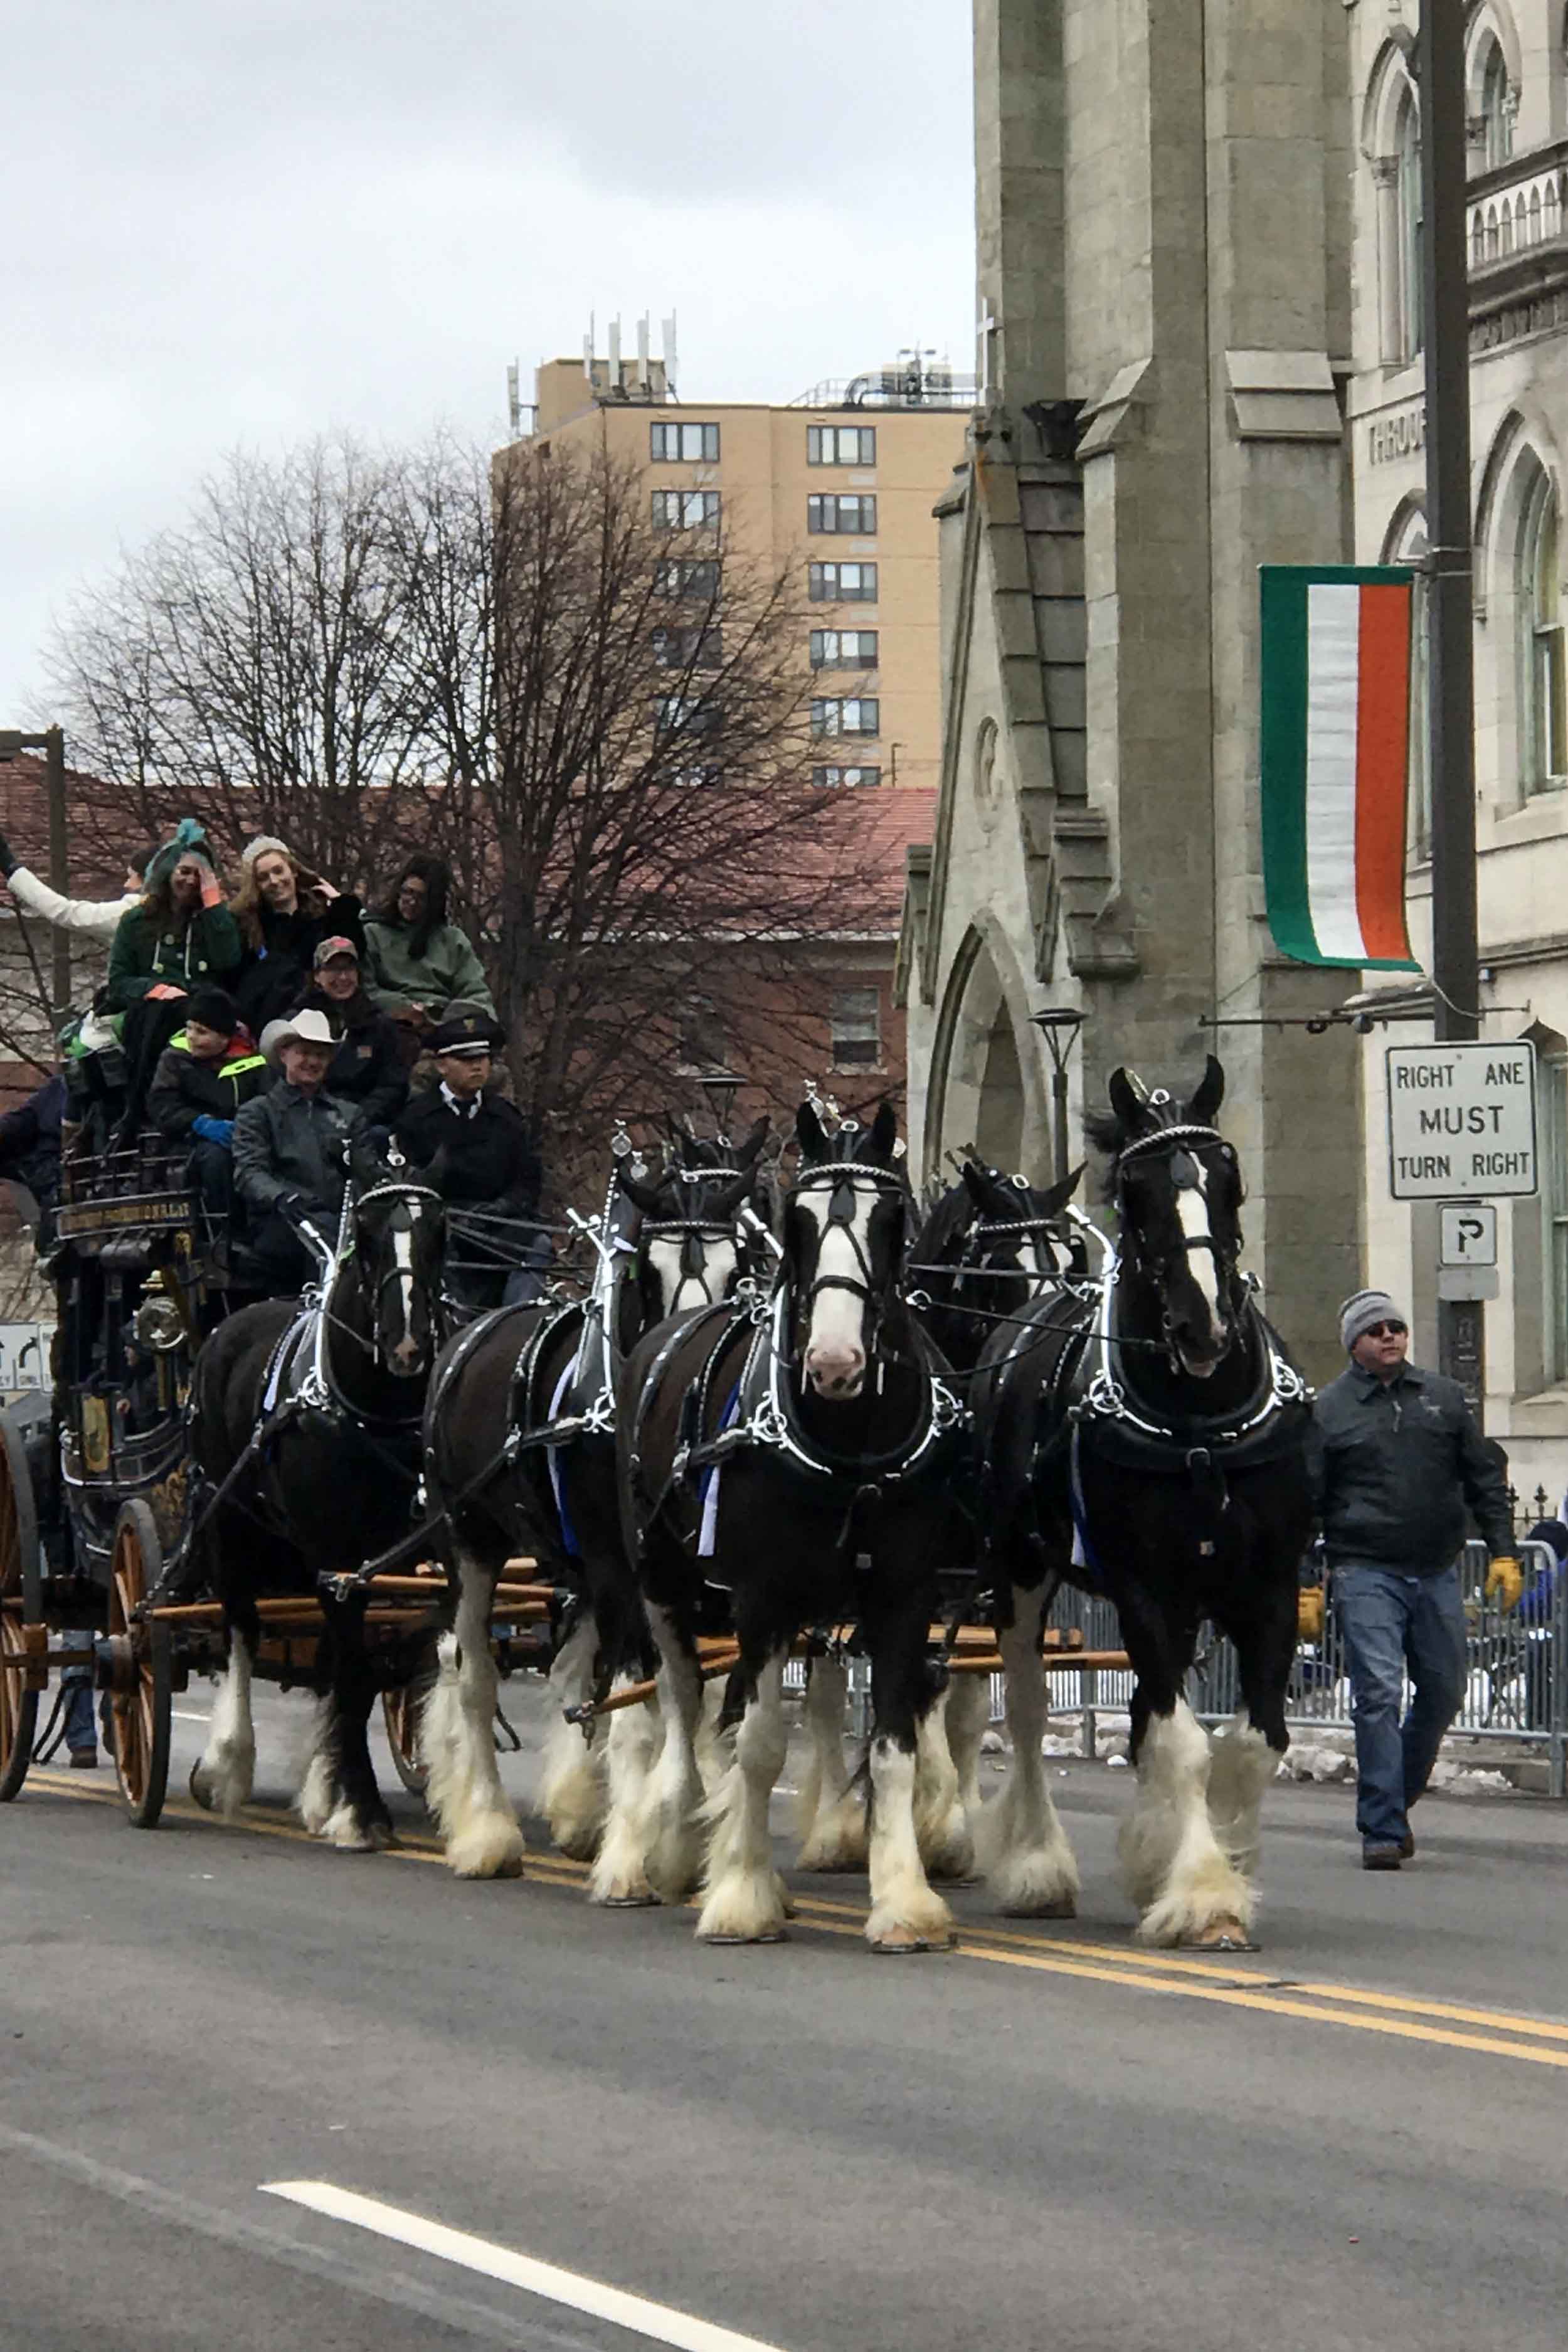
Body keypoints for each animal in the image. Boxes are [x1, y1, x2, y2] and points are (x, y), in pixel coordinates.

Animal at [188, 1157, 453, 1853]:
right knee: (241, 1631)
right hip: (230, 1524)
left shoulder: (430, 1550)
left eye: (440, 1230)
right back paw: (226, 1764)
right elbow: (355, 1674)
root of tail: (228, 1325)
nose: (408, 1343)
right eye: (365, 1234)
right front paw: (362, 1813)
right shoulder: (337, 1556)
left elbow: (406, 1656)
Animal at [420, 1129, 771, 1882]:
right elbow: (647, 1707)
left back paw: (575, 1810)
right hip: (472, 1540)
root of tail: (465, 1337)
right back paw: (484, 1828)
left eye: (739, 1266)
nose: (682, 1361)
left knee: (567, 1674)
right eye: (648, 1274)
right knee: (473, 1674)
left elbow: (695, 1703)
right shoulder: (622, 1566)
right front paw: (638, 1852)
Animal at [611, 1101, 968, 1947]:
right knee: (680, 1705)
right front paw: (740, 1897)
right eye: (797, 1222)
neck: (850, 1444)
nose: (834, 1363)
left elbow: (894, 1748)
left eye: (889, 1220)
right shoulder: (762, 1598)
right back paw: (670, 1850)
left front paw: (904, 1902)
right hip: (660, 1580)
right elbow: (761, 1746)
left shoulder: (904, 1594)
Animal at [973, 1067, 1316, 1947]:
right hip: (1018, 1568)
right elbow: (1183, 1745)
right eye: (1136, 1191)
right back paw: (1035, 1864)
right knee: (1028, 1708)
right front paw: (1201, 1892)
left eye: (1228, 1180)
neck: (1198, 1424)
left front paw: (1219, 1863)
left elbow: (1251, 1743)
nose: (1203, 1324)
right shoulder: (1142, 1591)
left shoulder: (1267, 1586)